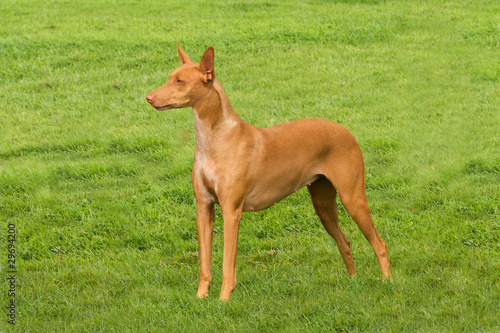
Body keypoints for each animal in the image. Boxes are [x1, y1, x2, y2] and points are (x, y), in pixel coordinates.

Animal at [146, 42, 392, 300]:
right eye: (170, 77)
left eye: (180, 81)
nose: (148, 98)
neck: (215, 138)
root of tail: (346, 130)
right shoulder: (203, 208)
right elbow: (205, 263)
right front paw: (201, 298)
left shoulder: (231, 212)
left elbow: (227, 264)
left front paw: (223, 300)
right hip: (323, 205)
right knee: (345, 242)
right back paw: (352, 282)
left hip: (353, 199)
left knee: (379, 243)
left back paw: (387, 281)